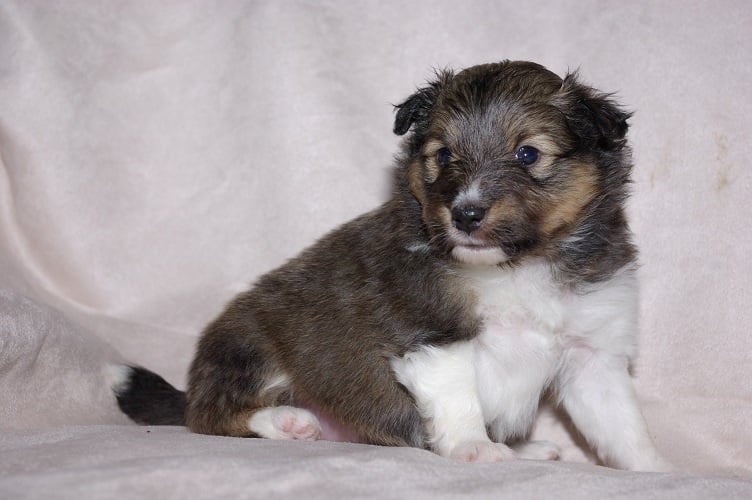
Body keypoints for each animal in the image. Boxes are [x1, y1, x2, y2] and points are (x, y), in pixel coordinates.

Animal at [112, 60, 671, 471]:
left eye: (528, 154)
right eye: (443, 155)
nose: (465, 214)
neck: (518, 265)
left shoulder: (591, 354)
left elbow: (624, 427)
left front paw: (658, 472)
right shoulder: (432, 333)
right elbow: (459, 398)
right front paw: (474, 447)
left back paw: (527, 448)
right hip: (251, 346)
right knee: (210, 416)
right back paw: (287, 422)